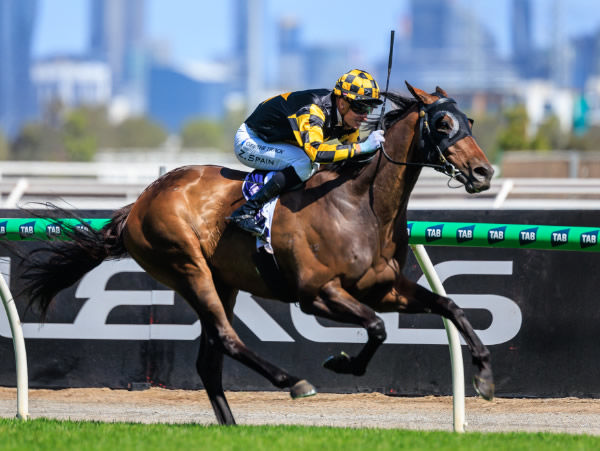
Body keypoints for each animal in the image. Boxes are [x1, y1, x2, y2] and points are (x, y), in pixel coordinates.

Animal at [21, 83, 494, 426]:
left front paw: (485, 375)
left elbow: (448, 306)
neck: (361, 205)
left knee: (209, 358)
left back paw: (232, 426)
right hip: (186, 267)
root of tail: (138, 202)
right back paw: (293, 382)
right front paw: (339, 362)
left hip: (223, 282)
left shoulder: (384, 287)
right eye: (442, 122)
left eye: (468, 120)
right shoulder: (316, 293)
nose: (484, 171)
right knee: (227, 338)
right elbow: (377, 328)